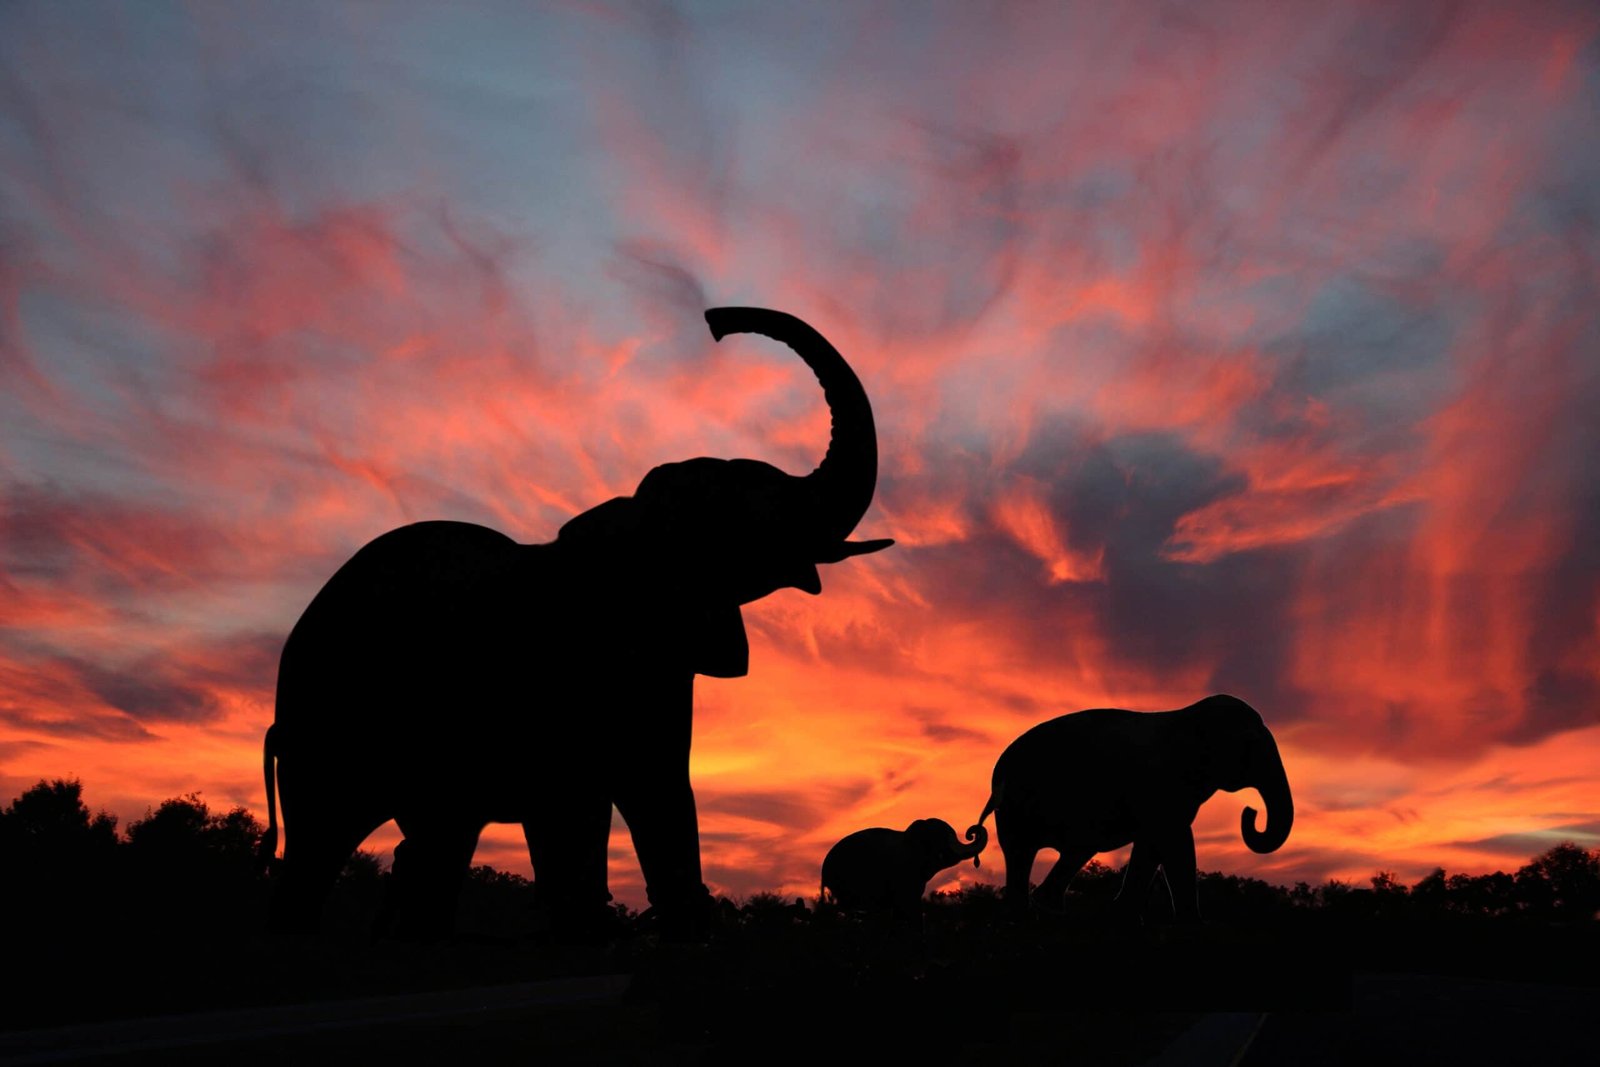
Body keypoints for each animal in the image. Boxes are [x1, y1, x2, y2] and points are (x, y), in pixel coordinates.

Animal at [259, 307, 893, 942]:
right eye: (741, 516)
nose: (716, 322)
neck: (629, 524)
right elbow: (581, 815)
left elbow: (656, 791)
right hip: (328, 715)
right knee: (323, 845)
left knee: (436, 844)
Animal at [973, 694, 1293, 922]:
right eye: (1251, 745)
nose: (1251, 812)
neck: (1188, 717)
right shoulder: (1162, 786)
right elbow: (1175, 844)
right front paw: (1193, 924)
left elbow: (1152, 846)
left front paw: (1123, 916)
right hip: (1017, 810)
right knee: (1023, 854)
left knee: (1072, 852)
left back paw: (1049, 912)